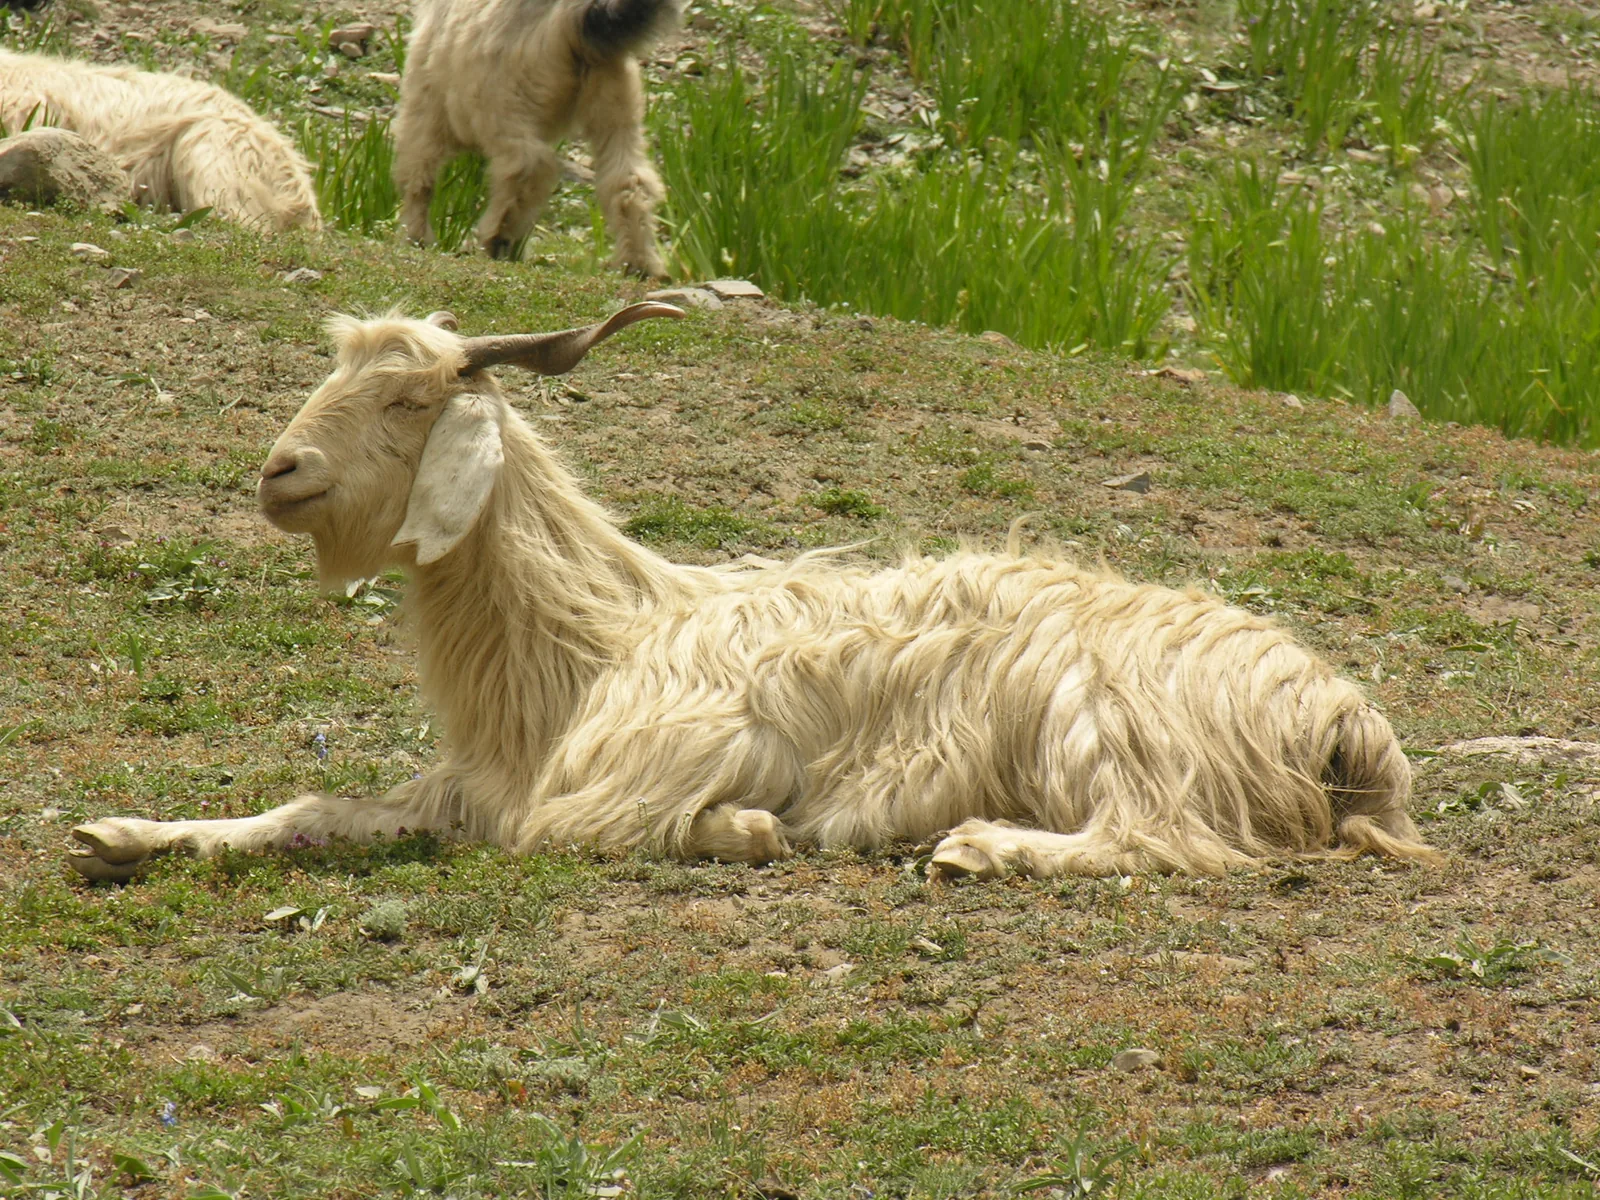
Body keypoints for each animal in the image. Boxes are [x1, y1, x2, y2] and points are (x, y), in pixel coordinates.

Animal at [67, 304, 1440, 883]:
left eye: (409, 399)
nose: (279, 471)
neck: (593, 642)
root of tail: (1344, 718)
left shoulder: (631, 773)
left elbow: (592, 832)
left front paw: (750, 831)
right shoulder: (478, 786)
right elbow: (311, 809)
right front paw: (119, 837)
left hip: (1117, 728)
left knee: (1165, 841)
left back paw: (979, 848)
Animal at [392, 0, 678, 276]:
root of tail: (578, 14)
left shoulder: (424, 85)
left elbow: (419, 165)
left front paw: (416, 236)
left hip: (501, 94)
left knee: (527, 162)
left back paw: (497, 235)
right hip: (615, 91)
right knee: (628, 177)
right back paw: (640, 264)